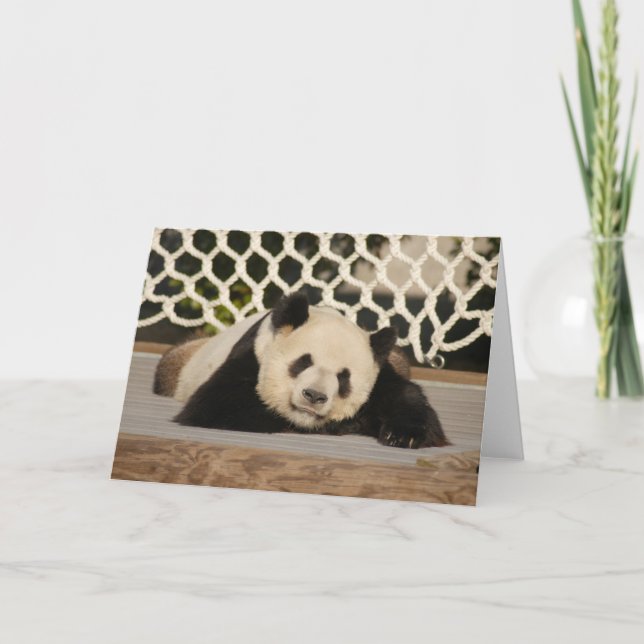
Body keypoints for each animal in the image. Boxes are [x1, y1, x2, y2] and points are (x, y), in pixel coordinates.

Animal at [153, 293, 448, 449]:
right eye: (303, 362)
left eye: (344, 378)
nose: (314, 396)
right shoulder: (251, 356)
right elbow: (217, 406)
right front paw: (346, 424)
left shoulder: (380, 372)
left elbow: (406, 397)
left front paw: (403, 435)